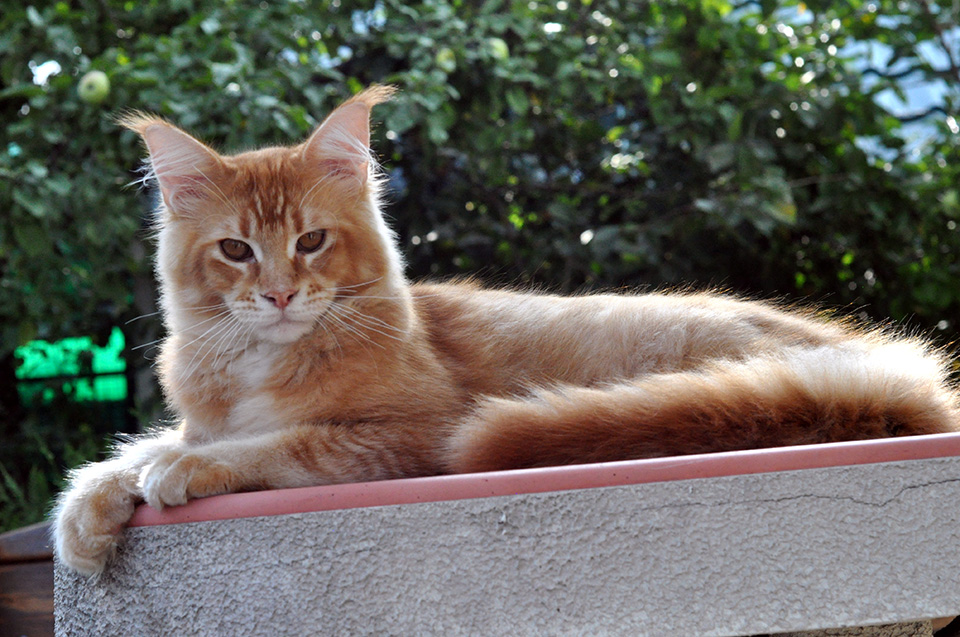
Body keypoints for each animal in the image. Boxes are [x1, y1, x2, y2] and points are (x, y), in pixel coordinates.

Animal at [52, 82, 960, 572]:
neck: (262, 361)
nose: (278, 295)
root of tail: (885, 366)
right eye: (236, 250)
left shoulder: (407, 434)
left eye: (311, 241)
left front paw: (179, 471)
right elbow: (138, 446)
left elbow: (267, 445)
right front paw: (86, 514)